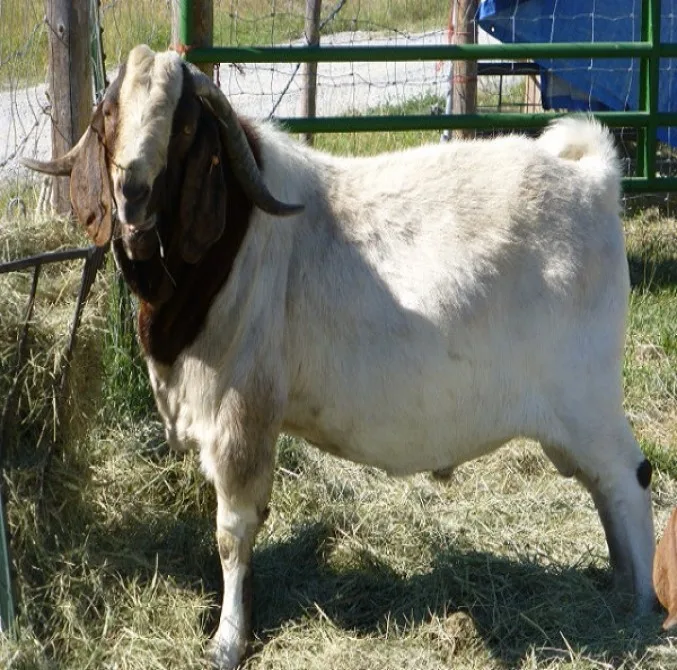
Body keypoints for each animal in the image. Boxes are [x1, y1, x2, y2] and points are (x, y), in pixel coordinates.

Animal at [23, 44, 656, 669]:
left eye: (182, 126)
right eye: (109, 116)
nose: (132, 194)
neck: (234, 243)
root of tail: (594, 181)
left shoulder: (241, 416)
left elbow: (233, 531)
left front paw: (228, 640)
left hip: (587, 396)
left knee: (629, 477)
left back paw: (644, 604)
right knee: (603, 486)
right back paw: (619, 586)